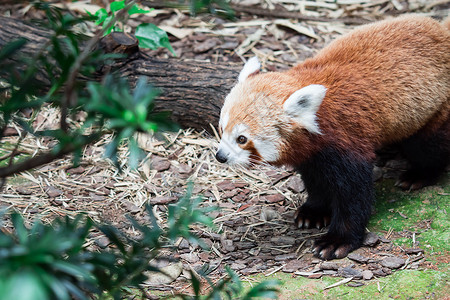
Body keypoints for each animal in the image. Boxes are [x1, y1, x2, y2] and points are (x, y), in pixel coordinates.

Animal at [216, 15, 448, 260]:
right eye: (222, 128)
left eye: (242, 139)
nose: (220, 156)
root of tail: (441, 31)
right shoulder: (311, 153)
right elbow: (316, 180)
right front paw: (314, 211)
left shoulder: (346, 139)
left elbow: (353, 194)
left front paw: (338, 240)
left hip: (434, 109)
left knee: (428, 146)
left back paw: (419, 174)